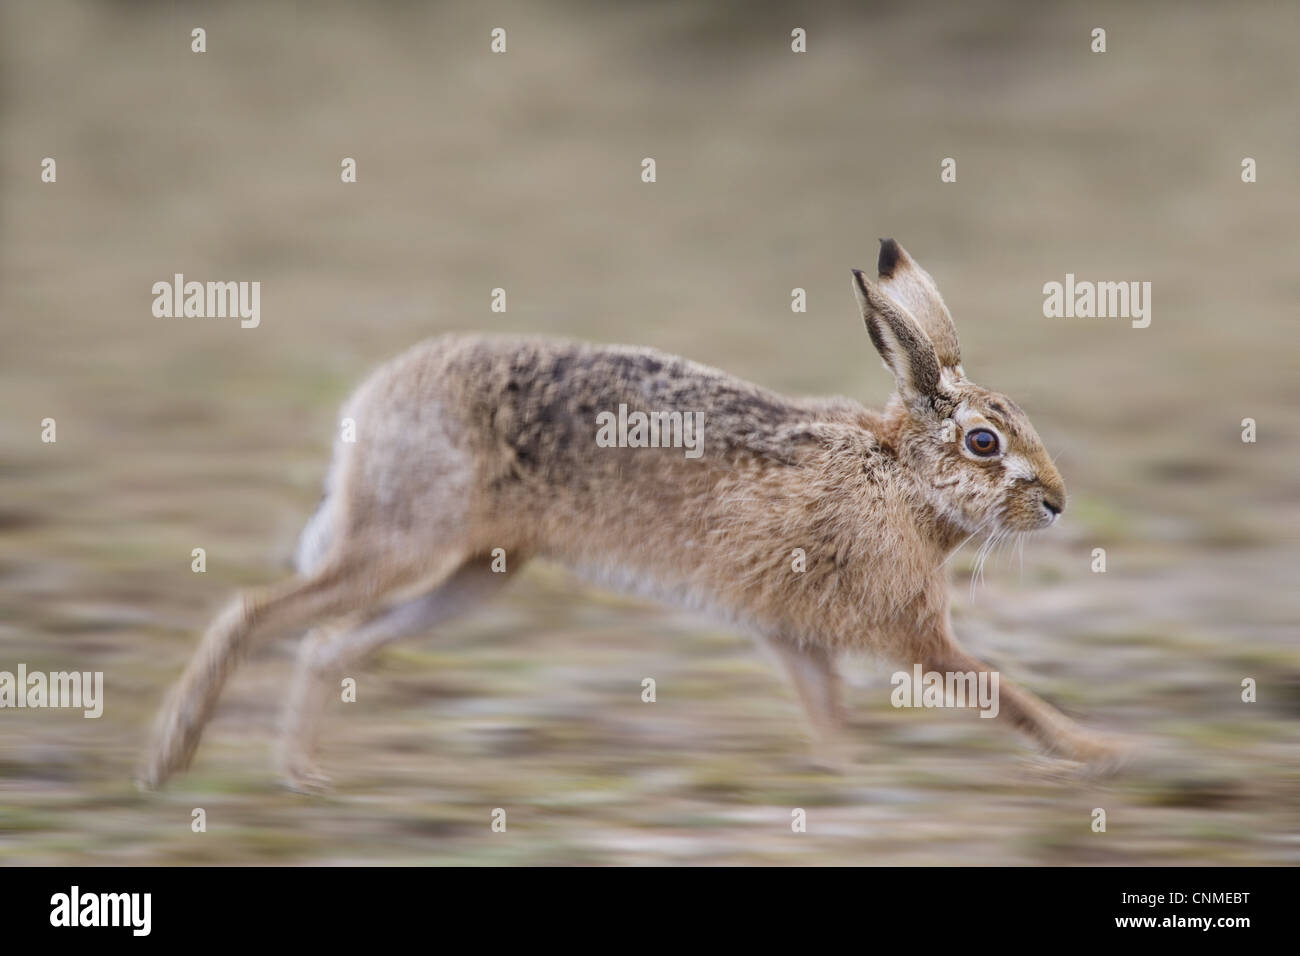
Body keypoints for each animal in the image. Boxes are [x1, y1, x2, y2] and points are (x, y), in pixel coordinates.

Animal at [140, 238, 1123, 793]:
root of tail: (371, 405)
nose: (1056, 502)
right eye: (985, 442)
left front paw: (847, 778)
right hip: (402, 541)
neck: (900, 477)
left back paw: (302, 772)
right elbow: (1001, 693)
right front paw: (1095, 752)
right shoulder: (911, 634)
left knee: (327, 646)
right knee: (255, 613)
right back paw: (169, 758)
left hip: (476, 577)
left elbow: (828, 712)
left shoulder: (790, 632)